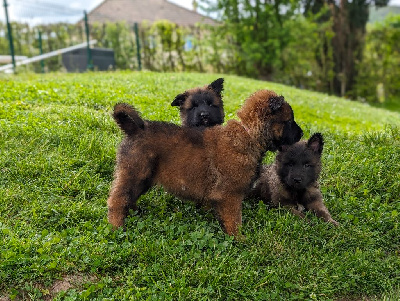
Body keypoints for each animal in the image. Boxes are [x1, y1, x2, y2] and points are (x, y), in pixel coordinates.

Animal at [108, 90, 302, 236]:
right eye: (289, 121)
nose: (301, 134)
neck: (248, 134)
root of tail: (134, 129)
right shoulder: (231, 195)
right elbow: (234, 219)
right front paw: (238, 239)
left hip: (143, 177)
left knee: (129, 196)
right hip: (134, 172)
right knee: (117, 199)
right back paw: (117, 226)